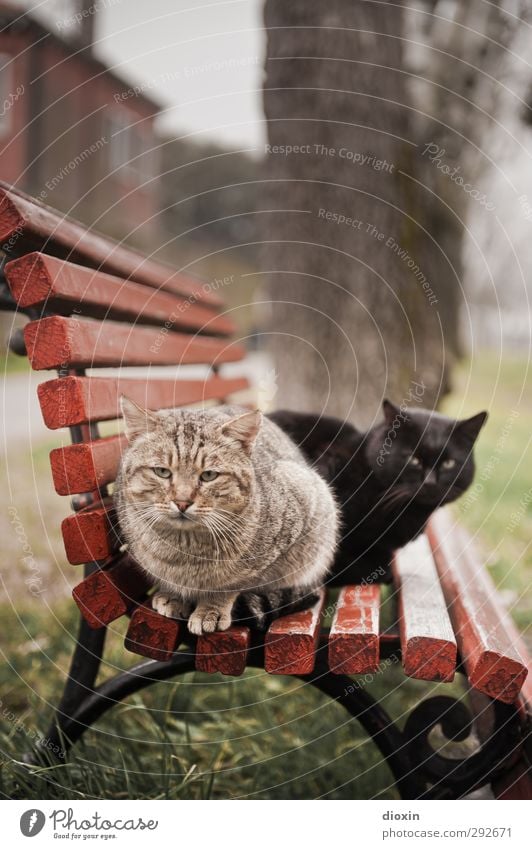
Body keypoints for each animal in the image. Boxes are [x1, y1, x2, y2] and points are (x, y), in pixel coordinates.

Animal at [116, 400, 336, 632]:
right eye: (162, 472)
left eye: (209, 475)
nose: (182, 502)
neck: (184, 549)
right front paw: (173, 595)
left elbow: (231, 584)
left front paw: (210, 609)